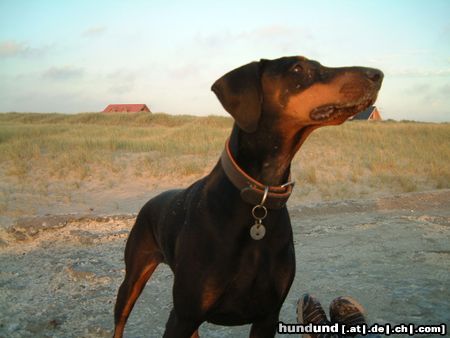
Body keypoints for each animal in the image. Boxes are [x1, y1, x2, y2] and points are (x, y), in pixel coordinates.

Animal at [113, 55, 384, 336]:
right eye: (298, 68)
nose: (377, 74)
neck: (260, 196)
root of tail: (150, 201)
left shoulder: (268, 314)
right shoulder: (186, 314)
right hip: (134, 278)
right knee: (120, 319)